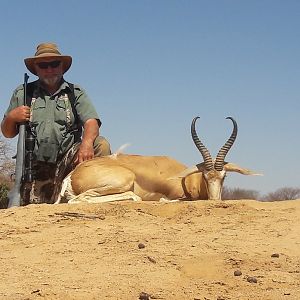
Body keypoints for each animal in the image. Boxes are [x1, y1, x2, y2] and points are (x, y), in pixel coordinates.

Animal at [56, 116, 260, 203]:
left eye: (224, 176)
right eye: (205, 176)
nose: (215, 200)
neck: (188, 180)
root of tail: (72, 175)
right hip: (124, 181)